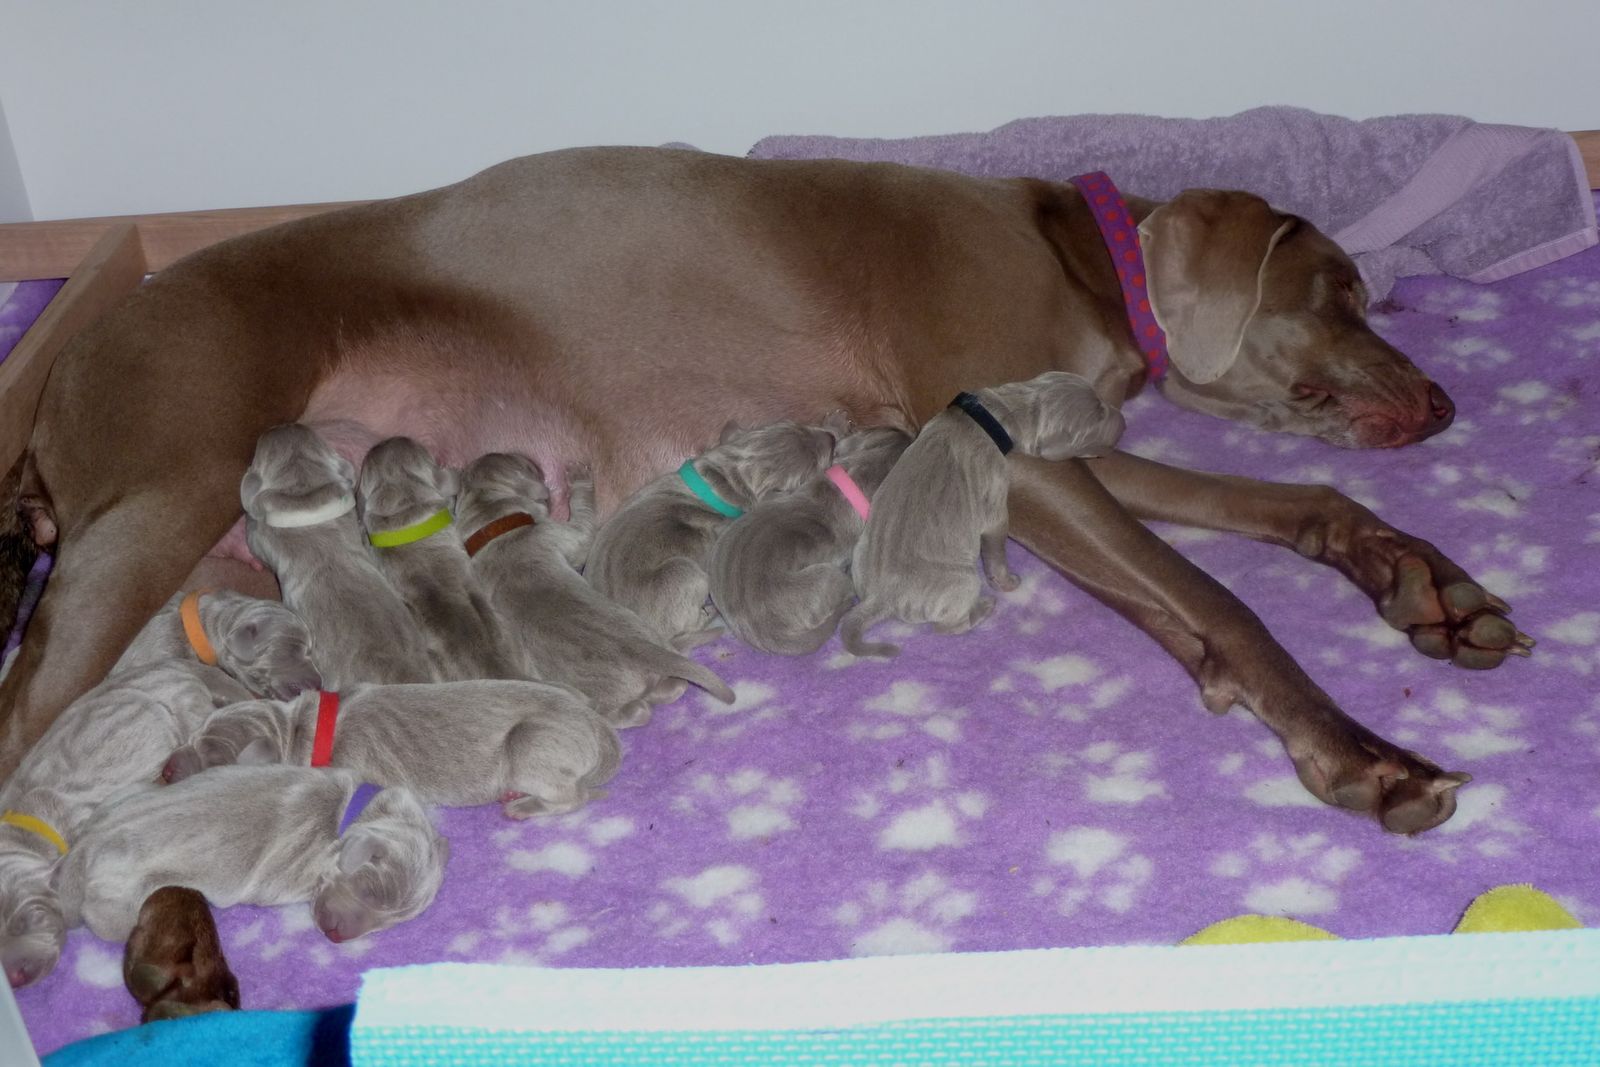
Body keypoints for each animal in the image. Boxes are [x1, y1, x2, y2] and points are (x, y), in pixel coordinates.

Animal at [54, 766, 447, 944]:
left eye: (391, 922)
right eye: (368, 892)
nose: (336, 937)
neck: (347, 815)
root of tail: (88, 843)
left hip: (129, 792)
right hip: (120, 904)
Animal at [164, 679, 620, 818]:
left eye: (214, 761)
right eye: (191, 736)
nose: (165, 772)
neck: (299, 727)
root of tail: (602, 731)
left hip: (529, 746)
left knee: (573, 796)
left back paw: (523, 805)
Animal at [456, 454, 735, 725]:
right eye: (530, 466)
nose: (538, 464)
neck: (493, 528)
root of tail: (644, 649)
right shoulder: (560, 534)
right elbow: (583, 526)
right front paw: (579, 477)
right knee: (642, 706)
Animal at [841, 372, 1125, 656]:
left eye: (1100, 400)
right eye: (1100, 415)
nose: (1123, 421)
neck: (993, 414)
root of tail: (879, 598)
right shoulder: (995, 499)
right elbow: (996, 548)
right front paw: (1007, 582)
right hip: (964, 581)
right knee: (946, 627)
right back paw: (984, 608)